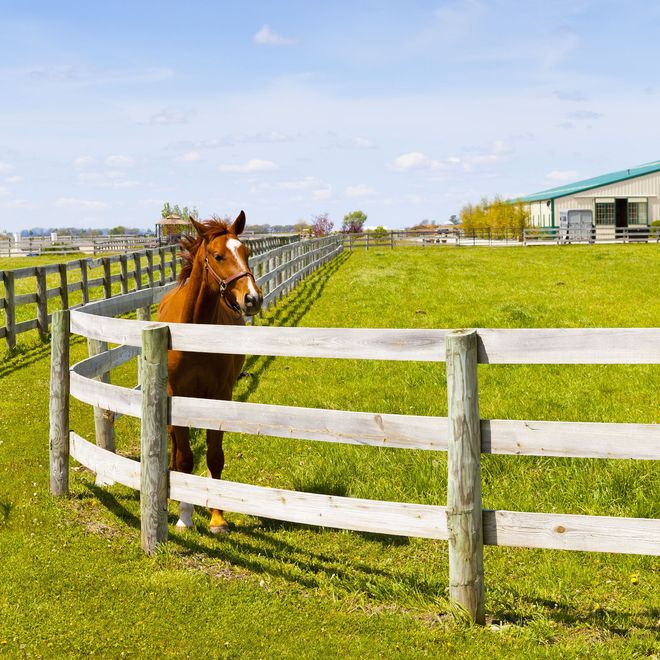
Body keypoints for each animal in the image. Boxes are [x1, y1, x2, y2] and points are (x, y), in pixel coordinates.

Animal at [157, 210, 263, 534]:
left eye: (246, 252)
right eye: (218, 256)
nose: (253, 298)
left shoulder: (220, 395)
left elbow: (215, 457)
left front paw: (217, 518)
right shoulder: (177, 394)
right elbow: (184, 459)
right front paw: (185, 516)